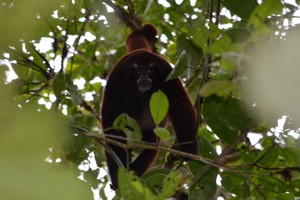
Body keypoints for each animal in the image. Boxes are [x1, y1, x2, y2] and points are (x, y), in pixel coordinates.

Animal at [101, 24, 197, 190]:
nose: (144, 77)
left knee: (150, 139)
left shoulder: (166, 72)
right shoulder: (117, 78)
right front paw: (116, 172)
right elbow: (112, 126)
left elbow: (181, 105)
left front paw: (188, 145)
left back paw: (135, 172)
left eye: (150, 71)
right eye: (139, 71)